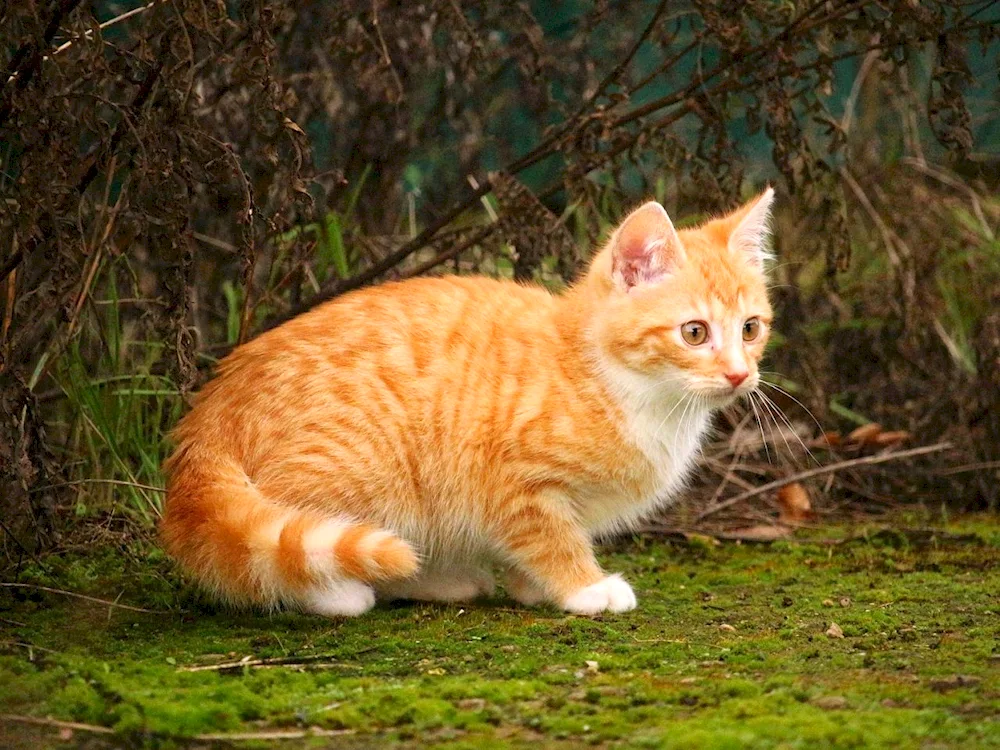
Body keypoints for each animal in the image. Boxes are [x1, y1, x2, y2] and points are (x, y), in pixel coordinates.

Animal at [160, 188, 776, 616]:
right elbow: (549, 536)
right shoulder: (511, 479)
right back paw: (337, 594)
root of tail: (207, 415)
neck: (616, 382)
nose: (739, 374)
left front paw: (533, 587)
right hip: (366, 470)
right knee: (282, 544)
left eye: (750, 328)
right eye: (694, 333)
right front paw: (583, 586)